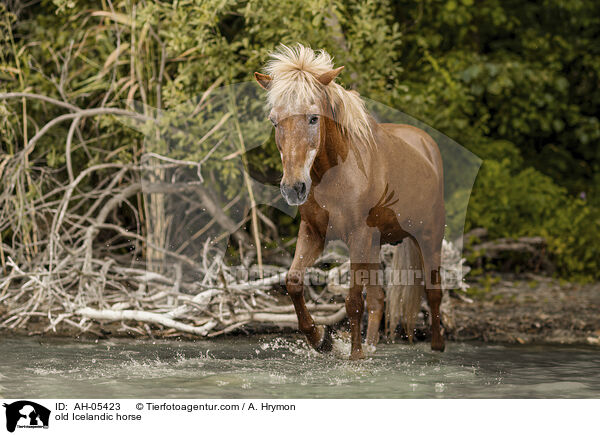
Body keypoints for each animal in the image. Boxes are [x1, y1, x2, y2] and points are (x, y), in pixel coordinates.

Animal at [253, 43, 446, 362]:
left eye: (313, 118)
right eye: (274, 120)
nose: (294, 188)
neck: (335, 174)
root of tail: (427, 146)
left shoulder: (358, 235)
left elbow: (353, 299)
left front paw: (354, 356)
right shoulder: (313, 232)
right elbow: (294, 282)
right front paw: (320, 339)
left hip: (429, 238)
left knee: (433, 294)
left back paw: (437, 347)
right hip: (377, 244)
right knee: (379, 299)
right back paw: (371, 345)